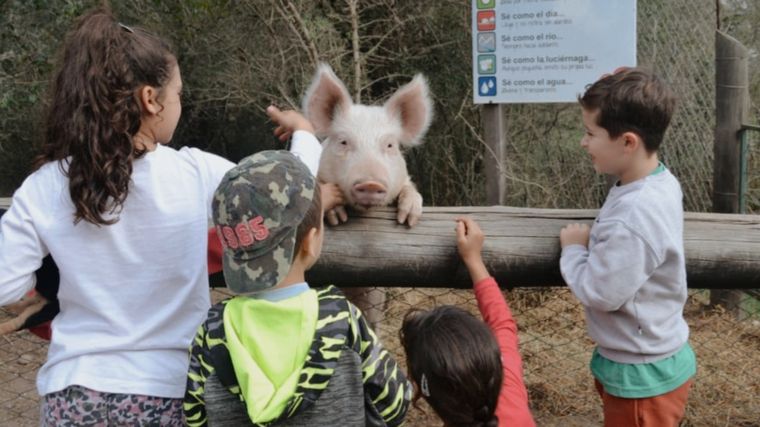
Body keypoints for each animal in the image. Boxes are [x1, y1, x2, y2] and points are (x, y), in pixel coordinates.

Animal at [302, 65, 434, 330]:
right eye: (343, 141)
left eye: (390, 145)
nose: (371, 181)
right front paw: (337, 215)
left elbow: (409, 189)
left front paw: (408, 216)